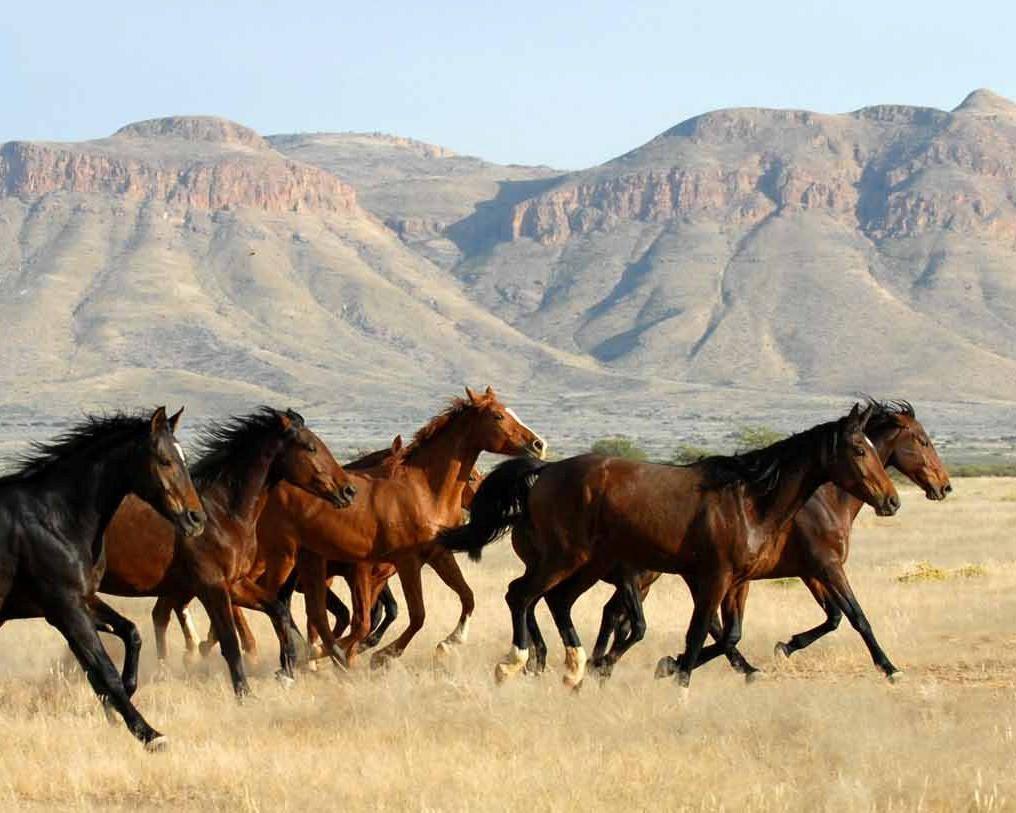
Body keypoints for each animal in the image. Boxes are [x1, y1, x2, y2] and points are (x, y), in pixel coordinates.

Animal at [0, 406, 204, 747]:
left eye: (184, 458)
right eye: (164, 460)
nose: (196, 519)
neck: (56, 518)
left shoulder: (80, 602)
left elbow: (130, 634)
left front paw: (115, 706)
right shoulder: (66, 608)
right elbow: (104, 669)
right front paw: (150, 735)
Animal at [99, 404, 353, 691]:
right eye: (310, 447)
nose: (348, 491)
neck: (221, 513)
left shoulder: (235, 583)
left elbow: (278, 610)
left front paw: (286, 669)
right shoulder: (212, 586)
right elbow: (231, 642)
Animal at [252, 388, 544, 666]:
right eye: (498, 415)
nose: (538, 444)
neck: (423, 491)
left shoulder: (437, 555)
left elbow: (466, 596)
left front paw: (448, 643)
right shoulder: (403, 562)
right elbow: (412, 616)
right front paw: (381, 655)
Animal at [440, 402, 902, 695]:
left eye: (876, 448)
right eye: (858, 449)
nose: (892, 500)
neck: (749, 499)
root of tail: (545, 470)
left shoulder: (732, 580)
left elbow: (722, 632)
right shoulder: (713, 577)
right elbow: (698, 632)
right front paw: (678, 680)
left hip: (584, 565)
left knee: (553, 601)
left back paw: (574, 669)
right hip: (564, 558)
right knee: (521, 595)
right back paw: (517, 663)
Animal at [589, 398, 950, 678]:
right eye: (922, 440)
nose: (944, 486)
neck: (826, 500)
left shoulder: (807, 572)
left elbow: (833, 617)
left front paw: (785, 647)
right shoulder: (825, 567)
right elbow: (855, 616)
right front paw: (889, 668)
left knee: (622, 614)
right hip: (650, 573)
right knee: (629, 616)